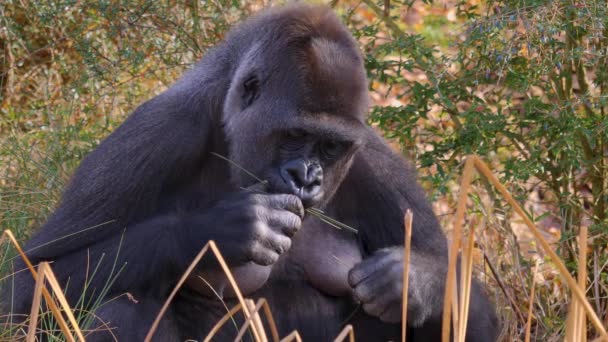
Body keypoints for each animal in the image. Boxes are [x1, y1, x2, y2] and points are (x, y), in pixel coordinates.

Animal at [4, 3, 496, 342]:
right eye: (295, 134)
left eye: (330, 146)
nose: (307, 178)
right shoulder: (161, 131)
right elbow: (27, 285)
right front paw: (220, 229)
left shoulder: (375, 160)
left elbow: (472, 302)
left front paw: (412, 279)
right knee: (122, 304)